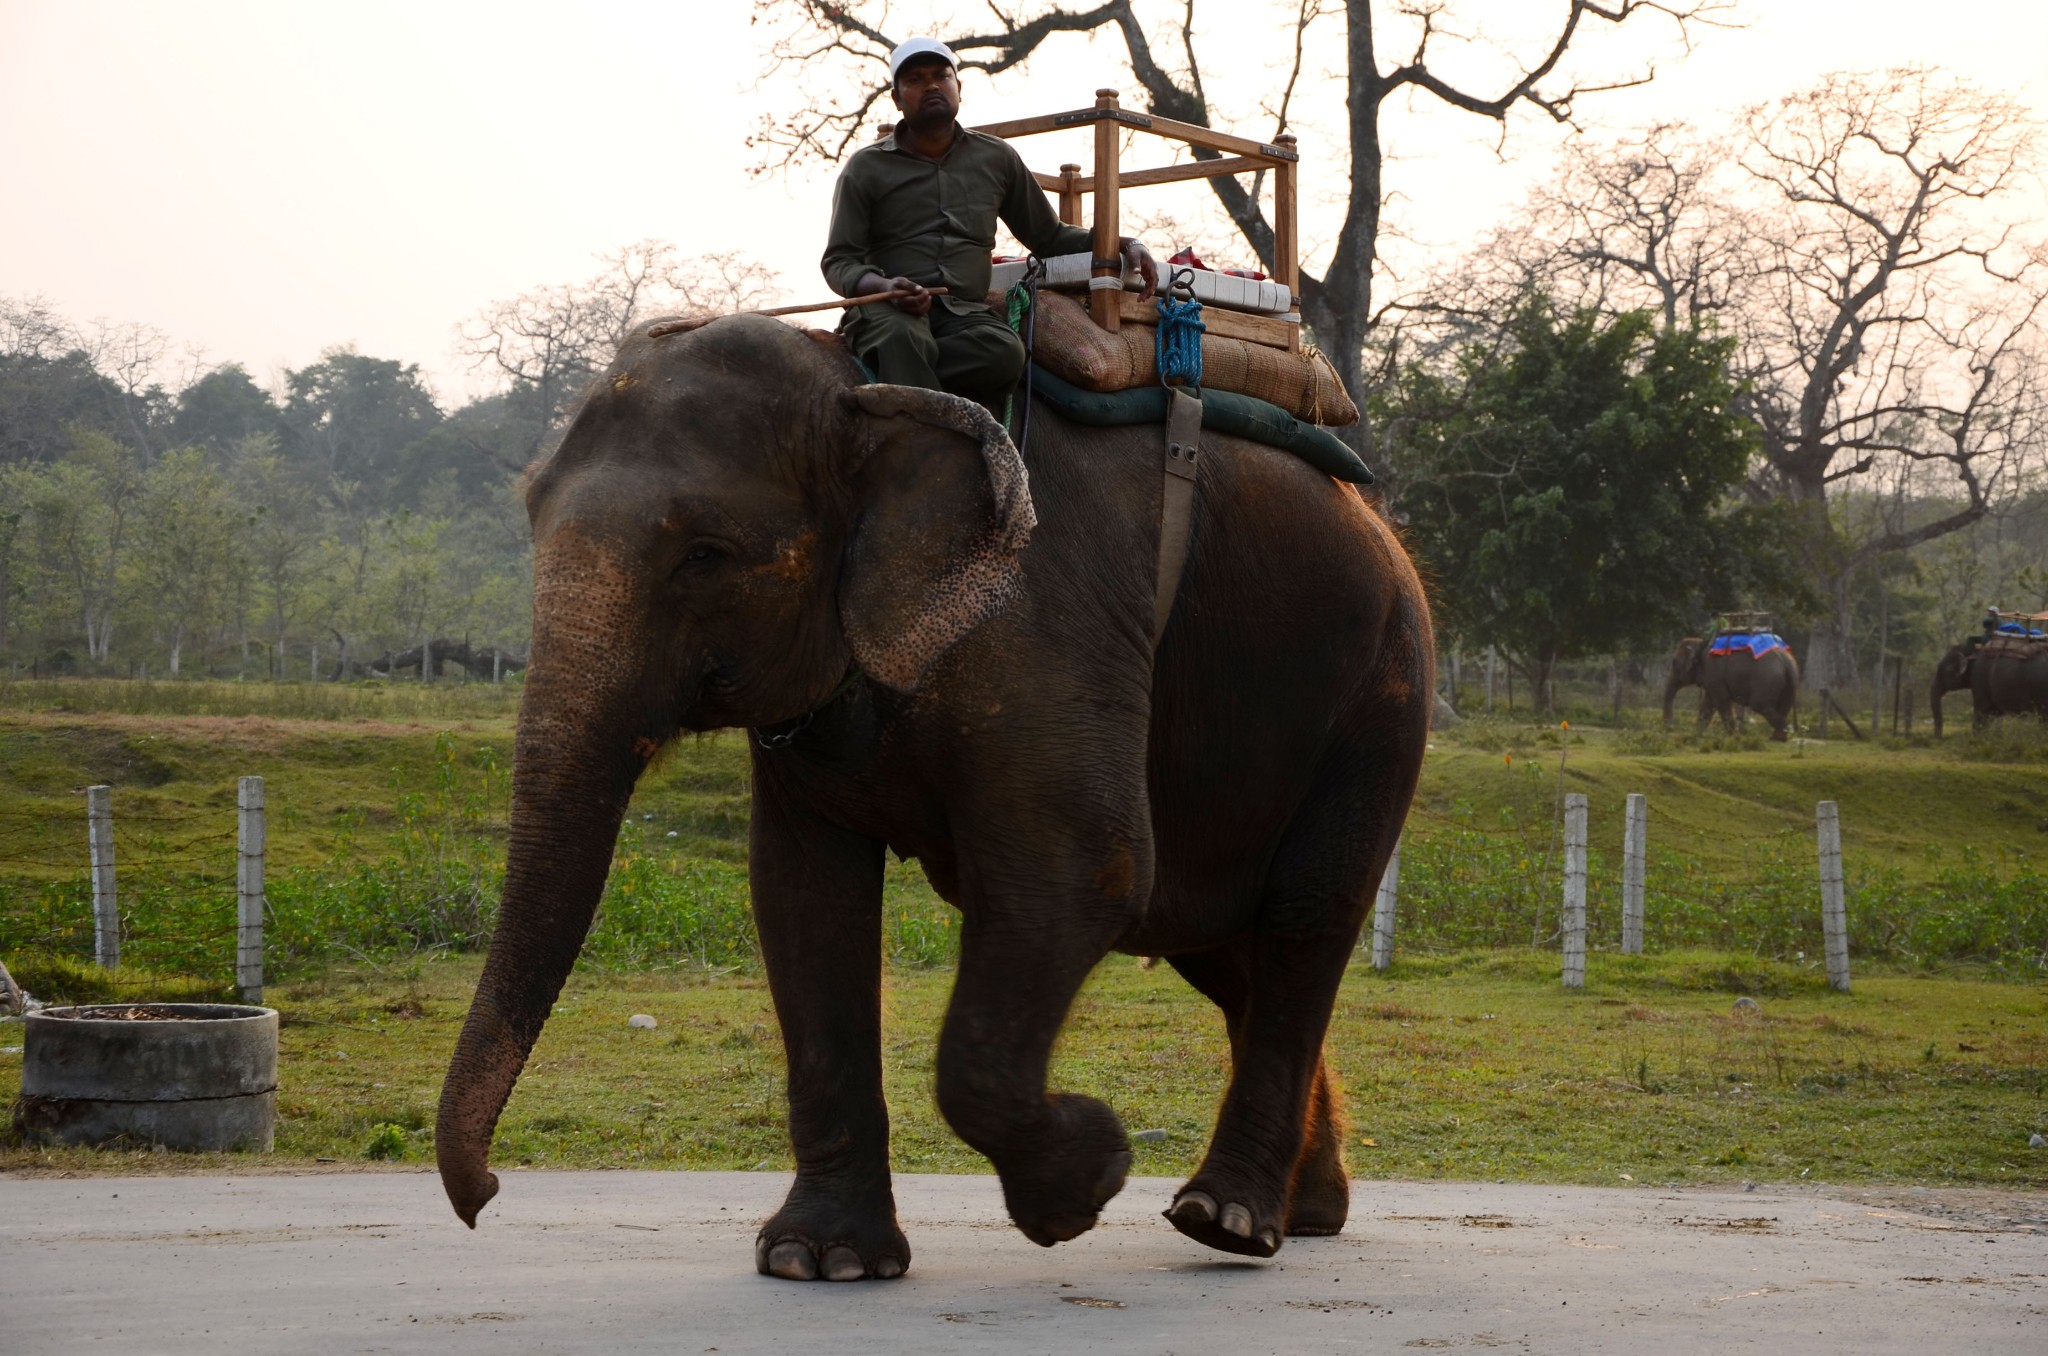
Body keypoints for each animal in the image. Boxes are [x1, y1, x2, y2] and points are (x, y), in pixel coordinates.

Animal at [436, 319, 1425, 1286]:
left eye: (705, 554)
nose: (486, 1199)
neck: (868, 393)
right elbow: (801, 897)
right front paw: (819, 1260)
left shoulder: (1041, 614)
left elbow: (1085, 872)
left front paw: (1091, 1175)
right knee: (1222, 953)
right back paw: (1304, 1213)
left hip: (1379, 702)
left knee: (1300, 927)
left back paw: (1225, 1221)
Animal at [1662, 639, 1794, 745]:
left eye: (1674, 662)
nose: (1670, 728)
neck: (1701, 644)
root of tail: (1786, 661)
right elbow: (1708, 705)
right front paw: (1696, 736)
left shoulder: (1714, 674)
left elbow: (1721, 701)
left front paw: (1734, 737)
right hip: (1785, 684)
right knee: (1783, 707)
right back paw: (1779, 737)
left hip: (1767, 679)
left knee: (1761, 706)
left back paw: (1781, 735)